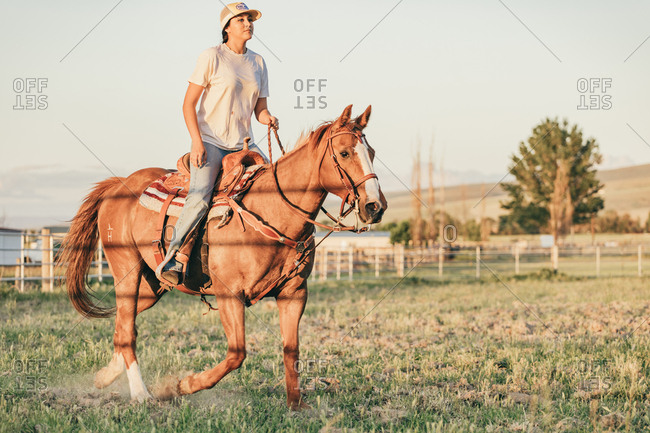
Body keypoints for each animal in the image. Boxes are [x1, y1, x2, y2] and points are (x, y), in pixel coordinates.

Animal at [61, 104, 387, 410]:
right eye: (344, 153)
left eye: (371, 152)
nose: (375, 206)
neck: (272, 213)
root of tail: (117, 184)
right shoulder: (230, 293)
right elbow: (237, 353)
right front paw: (184, 385)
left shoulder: (294, 294)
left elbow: (291, 349)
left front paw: (296, 405)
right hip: (125, 272)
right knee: (127, 332)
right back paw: (142, 394)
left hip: (152, 286)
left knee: (123, 325)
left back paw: (106, 377)